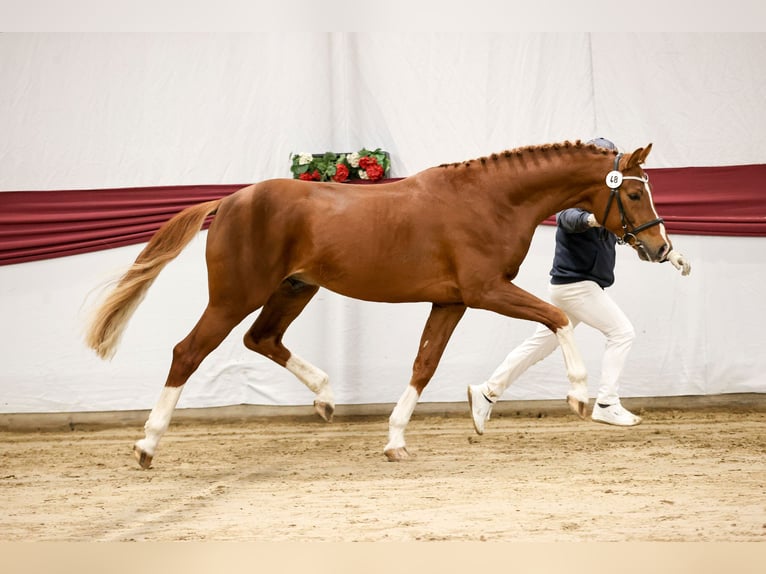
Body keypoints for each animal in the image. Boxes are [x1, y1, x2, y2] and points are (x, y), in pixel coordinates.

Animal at [85, 140, 671, 468]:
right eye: (634, 193)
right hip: (235, 296)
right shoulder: (485, 291)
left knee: (262, 338)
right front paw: (578, 395)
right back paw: (147, 446)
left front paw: (394, 442)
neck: (491, 200)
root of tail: (229, 200)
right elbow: (557, 317)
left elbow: (424, 365)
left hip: (294, 289)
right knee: (188, 352)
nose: (660, 248)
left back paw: (325, 398)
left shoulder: (451, 301)